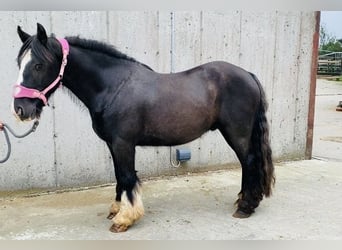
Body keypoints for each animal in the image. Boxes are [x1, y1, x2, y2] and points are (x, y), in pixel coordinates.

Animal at [12, 23, 276, 232]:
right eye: (19, 63)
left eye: (38, 65)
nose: (20, 109)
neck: (113, 86)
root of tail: (248, 75)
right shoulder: (113, 144)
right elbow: (119, 175)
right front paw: (116, 208)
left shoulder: (123, 143)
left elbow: (127, 176)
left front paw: (124, 218)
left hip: (237, 133)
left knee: (249, 162)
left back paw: (246, 206)